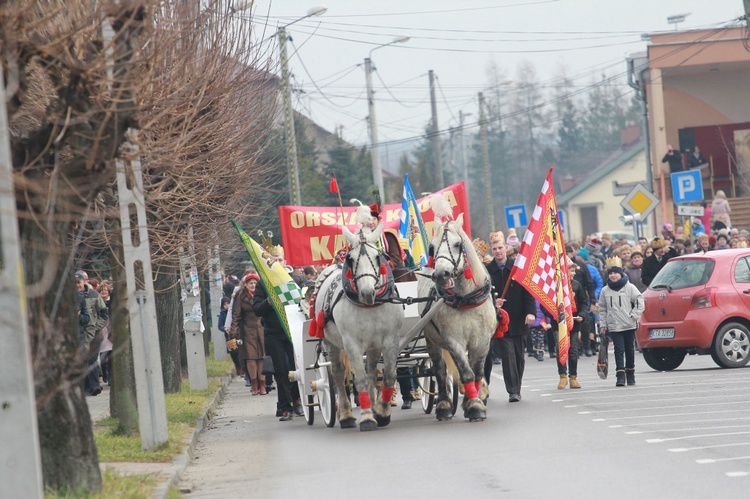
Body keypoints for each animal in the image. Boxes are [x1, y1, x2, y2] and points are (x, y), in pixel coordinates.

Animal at [312, 211, 406, 430]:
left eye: (378, 256)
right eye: (351, 257)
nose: (366, 293)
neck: (370, 305)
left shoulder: (389, 340)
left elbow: (388, 376)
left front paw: (381, 411)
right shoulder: (352, 343)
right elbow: (360, 379)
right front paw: (366, 417)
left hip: (372, 345)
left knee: (372, 372)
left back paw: (371, 404)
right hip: (332, 342)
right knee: (338, 374)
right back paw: (346, 414)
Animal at [418, 199, 500, 422]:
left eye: (457, 244)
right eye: (432, 247)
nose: (441, 274)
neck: (465, 300)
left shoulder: (482, 341)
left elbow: (477, 373)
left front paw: (475, 401)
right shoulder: (453, 341)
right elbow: (465, 372)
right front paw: (474, 406)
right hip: (431, 340)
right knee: (439, 369)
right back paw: (444, 405)